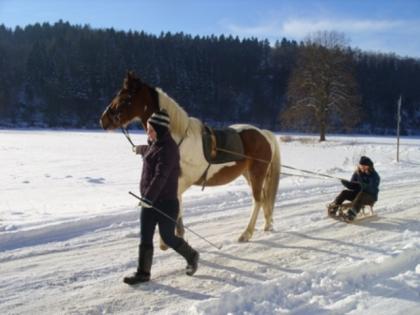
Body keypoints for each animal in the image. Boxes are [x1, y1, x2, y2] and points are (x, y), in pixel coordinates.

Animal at [100, 72, 280, 249]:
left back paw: (246, 233)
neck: (175, 138)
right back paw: (267, 225)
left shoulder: (179, 181)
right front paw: (177, 235)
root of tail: (263, 134)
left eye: (125, 98)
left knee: (257, 201)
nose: (103, 119)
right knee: (264, 198)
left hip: (257, 174)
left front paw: (167, 240)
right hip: (249, 174)